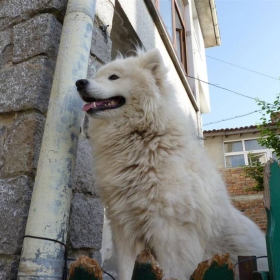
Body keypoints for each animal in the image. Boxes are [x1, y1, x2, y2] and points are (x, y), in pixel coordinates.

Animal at [76, 49, 266, 278]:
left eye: (114, 77)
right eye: (97, 76)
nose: (79, 82)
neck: (144, 140)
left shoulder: (170, 233)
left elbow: (172, 272)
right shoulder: (124, 228)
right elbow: (126, 272)